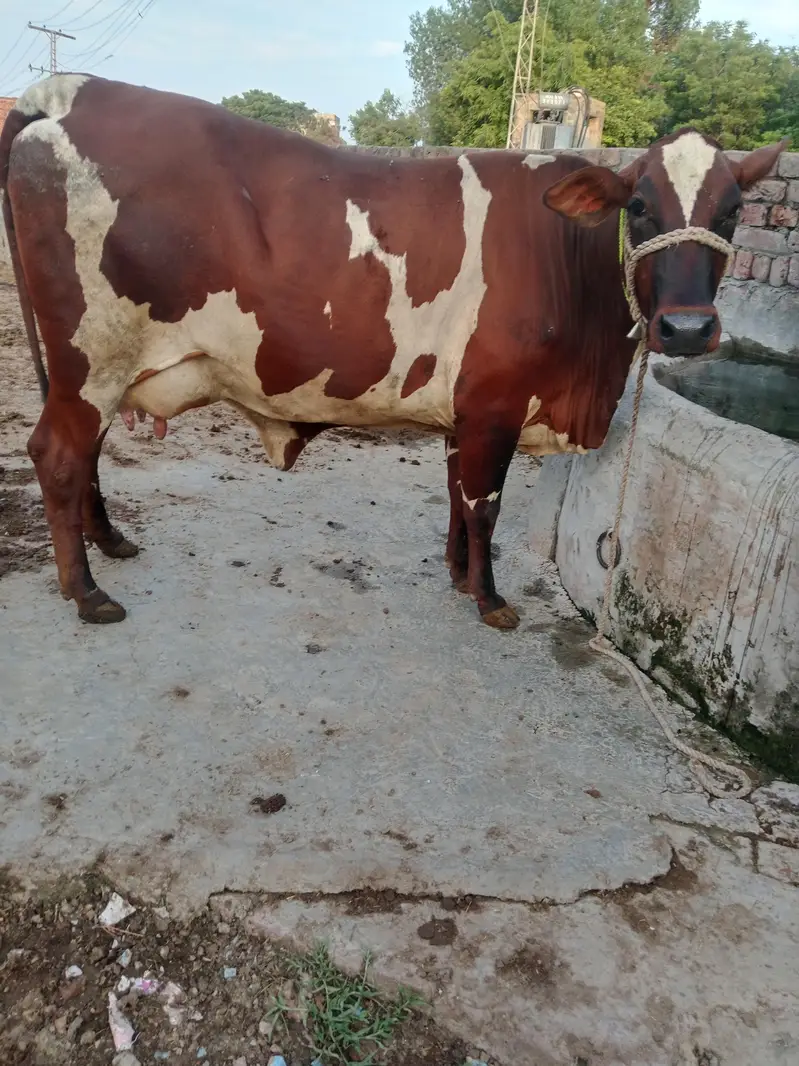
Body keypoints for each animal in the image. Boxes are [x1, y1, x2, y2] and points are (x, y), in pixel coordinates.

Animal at [0, 75, 785, 627]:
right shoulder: (496, 406)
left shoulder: (467, 411)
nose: (688, 330)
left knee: (85, 453)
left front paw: (459, 575)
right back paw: (86, 591)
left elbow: (457, 495)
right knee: (58, 455)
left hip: (94, 370)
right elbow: (485, 504)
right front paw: (489, 598)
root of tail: (66, 91)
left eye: (731, 212)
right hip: (90, 361)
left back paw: (110, 542)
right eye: (640, 206)